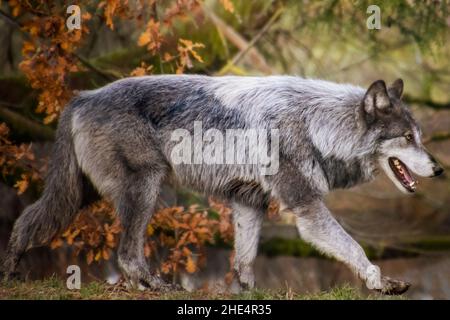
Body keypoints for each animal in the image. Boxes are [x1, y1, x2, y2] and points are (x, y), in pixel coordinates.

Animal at [2, 75, 442, 296]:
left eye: (420, 136)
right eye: (407, 138)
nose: (439, 168)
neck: (316, 124)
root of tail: (81, 97)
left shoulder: (249, 203)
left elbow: (244, 258)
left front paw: (248, 293)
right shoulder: (304, 206)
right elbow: (354, 247)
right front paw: (381, 282)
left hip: (79, 194)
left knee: (27, 221)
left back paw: (10, 271)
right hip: (145, 188)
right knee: (127, 255)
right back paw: (157, 286)